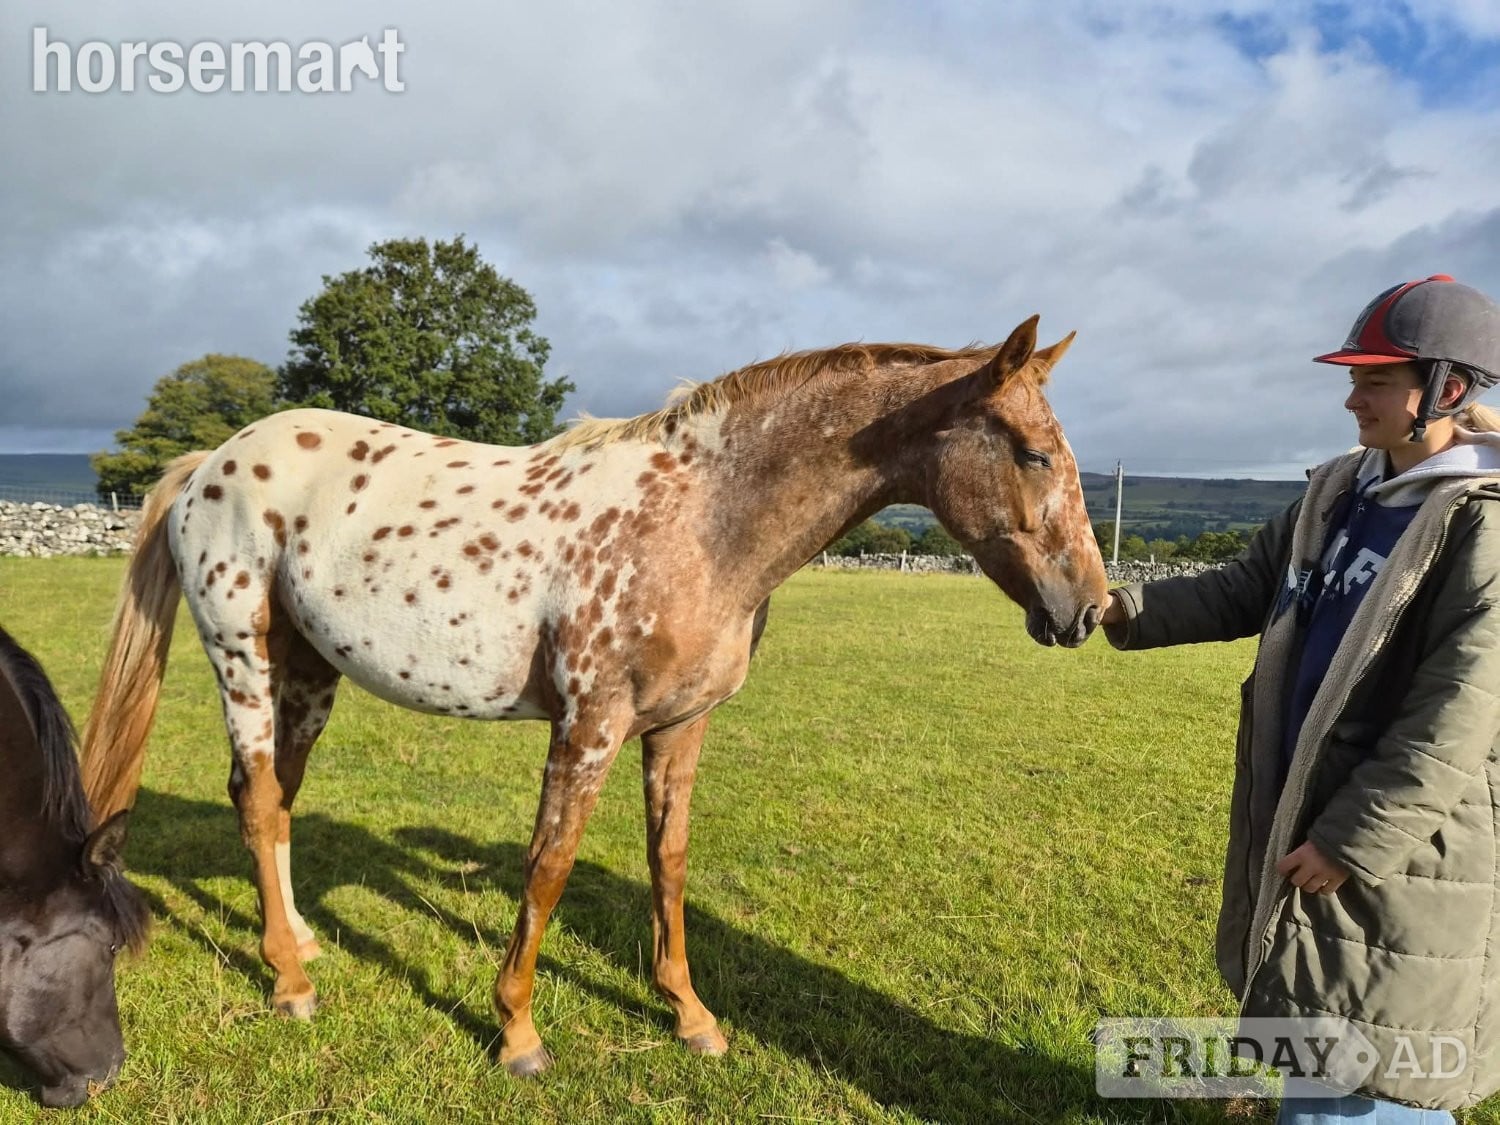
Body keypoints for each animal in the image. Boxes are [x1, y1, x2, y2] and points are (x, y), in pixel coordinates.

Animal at [79, 314, 1108, 1076]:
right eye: (1031, 453)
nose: (1091, 608)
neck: (702, 522)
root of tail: (210, 462)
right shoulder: (590, 725)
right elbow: (550, 865)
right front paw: (517, 1032)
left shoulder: (682, 724)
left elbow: (670, 860)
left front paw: (689, 1012)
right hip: (243, 658)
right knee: (258, 800)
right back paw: (292, 986)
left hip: (307, 672)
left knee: (274, 799)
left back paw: (295, 942)